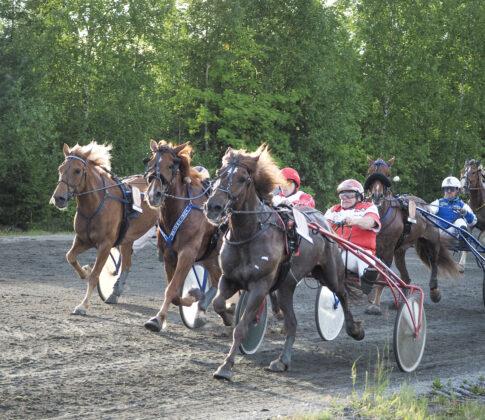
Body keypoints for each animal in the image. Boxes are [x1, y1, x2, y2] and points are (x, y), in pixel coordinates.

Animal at [49, 143, 156, 314]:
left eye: (77, 170)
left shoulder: (105, 244)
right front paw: (85, 272)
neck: (95, 205)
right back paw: (114, 293)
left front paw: (83, 305)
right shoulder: (83, 239)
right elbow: (70, 256)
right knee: (126, 264)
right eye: (61, 168)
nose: (58, 198)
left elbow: (95, 275)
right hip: (128, 238)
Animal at [142, 139, 221, 334]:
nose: (153, 195)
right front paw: (193, 297)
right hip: (210, 256)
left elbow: (171, 289)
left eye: (171, 165)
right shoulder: (169, 255)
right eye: (150, 163)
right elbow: (175, 293)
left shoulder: (187, 254)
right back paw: (205, 308)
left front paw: (157, 319)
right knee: (217, 279)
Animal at [202, 144, 362, 380]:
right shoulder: (229, 278)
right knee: (292, 323)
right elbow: (218, 303)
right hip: (286, 285)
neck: (249, 233)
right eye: (219, 173)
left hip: (330, 272)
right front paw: (229, 317)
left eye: (242, 178)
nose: (213, 206)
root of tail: (323, 221)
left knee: (341, 293)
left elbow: (242, 327)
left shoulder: (259, 285)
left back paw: (355, 330)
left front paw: (226, 366)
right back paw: (282, 360)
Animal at [364, 156, 460, 314]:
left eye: (388, 174)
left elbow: (382, 277)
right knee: (406, 277)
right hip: (400, 251)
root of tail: (425, 206)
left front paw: (375, 305)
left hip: (431, 242)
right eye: (370, 172)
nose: (377, 196)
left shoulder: (388, 250)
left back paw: (434, 292)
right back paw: (403, 301)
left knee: (434, 263)